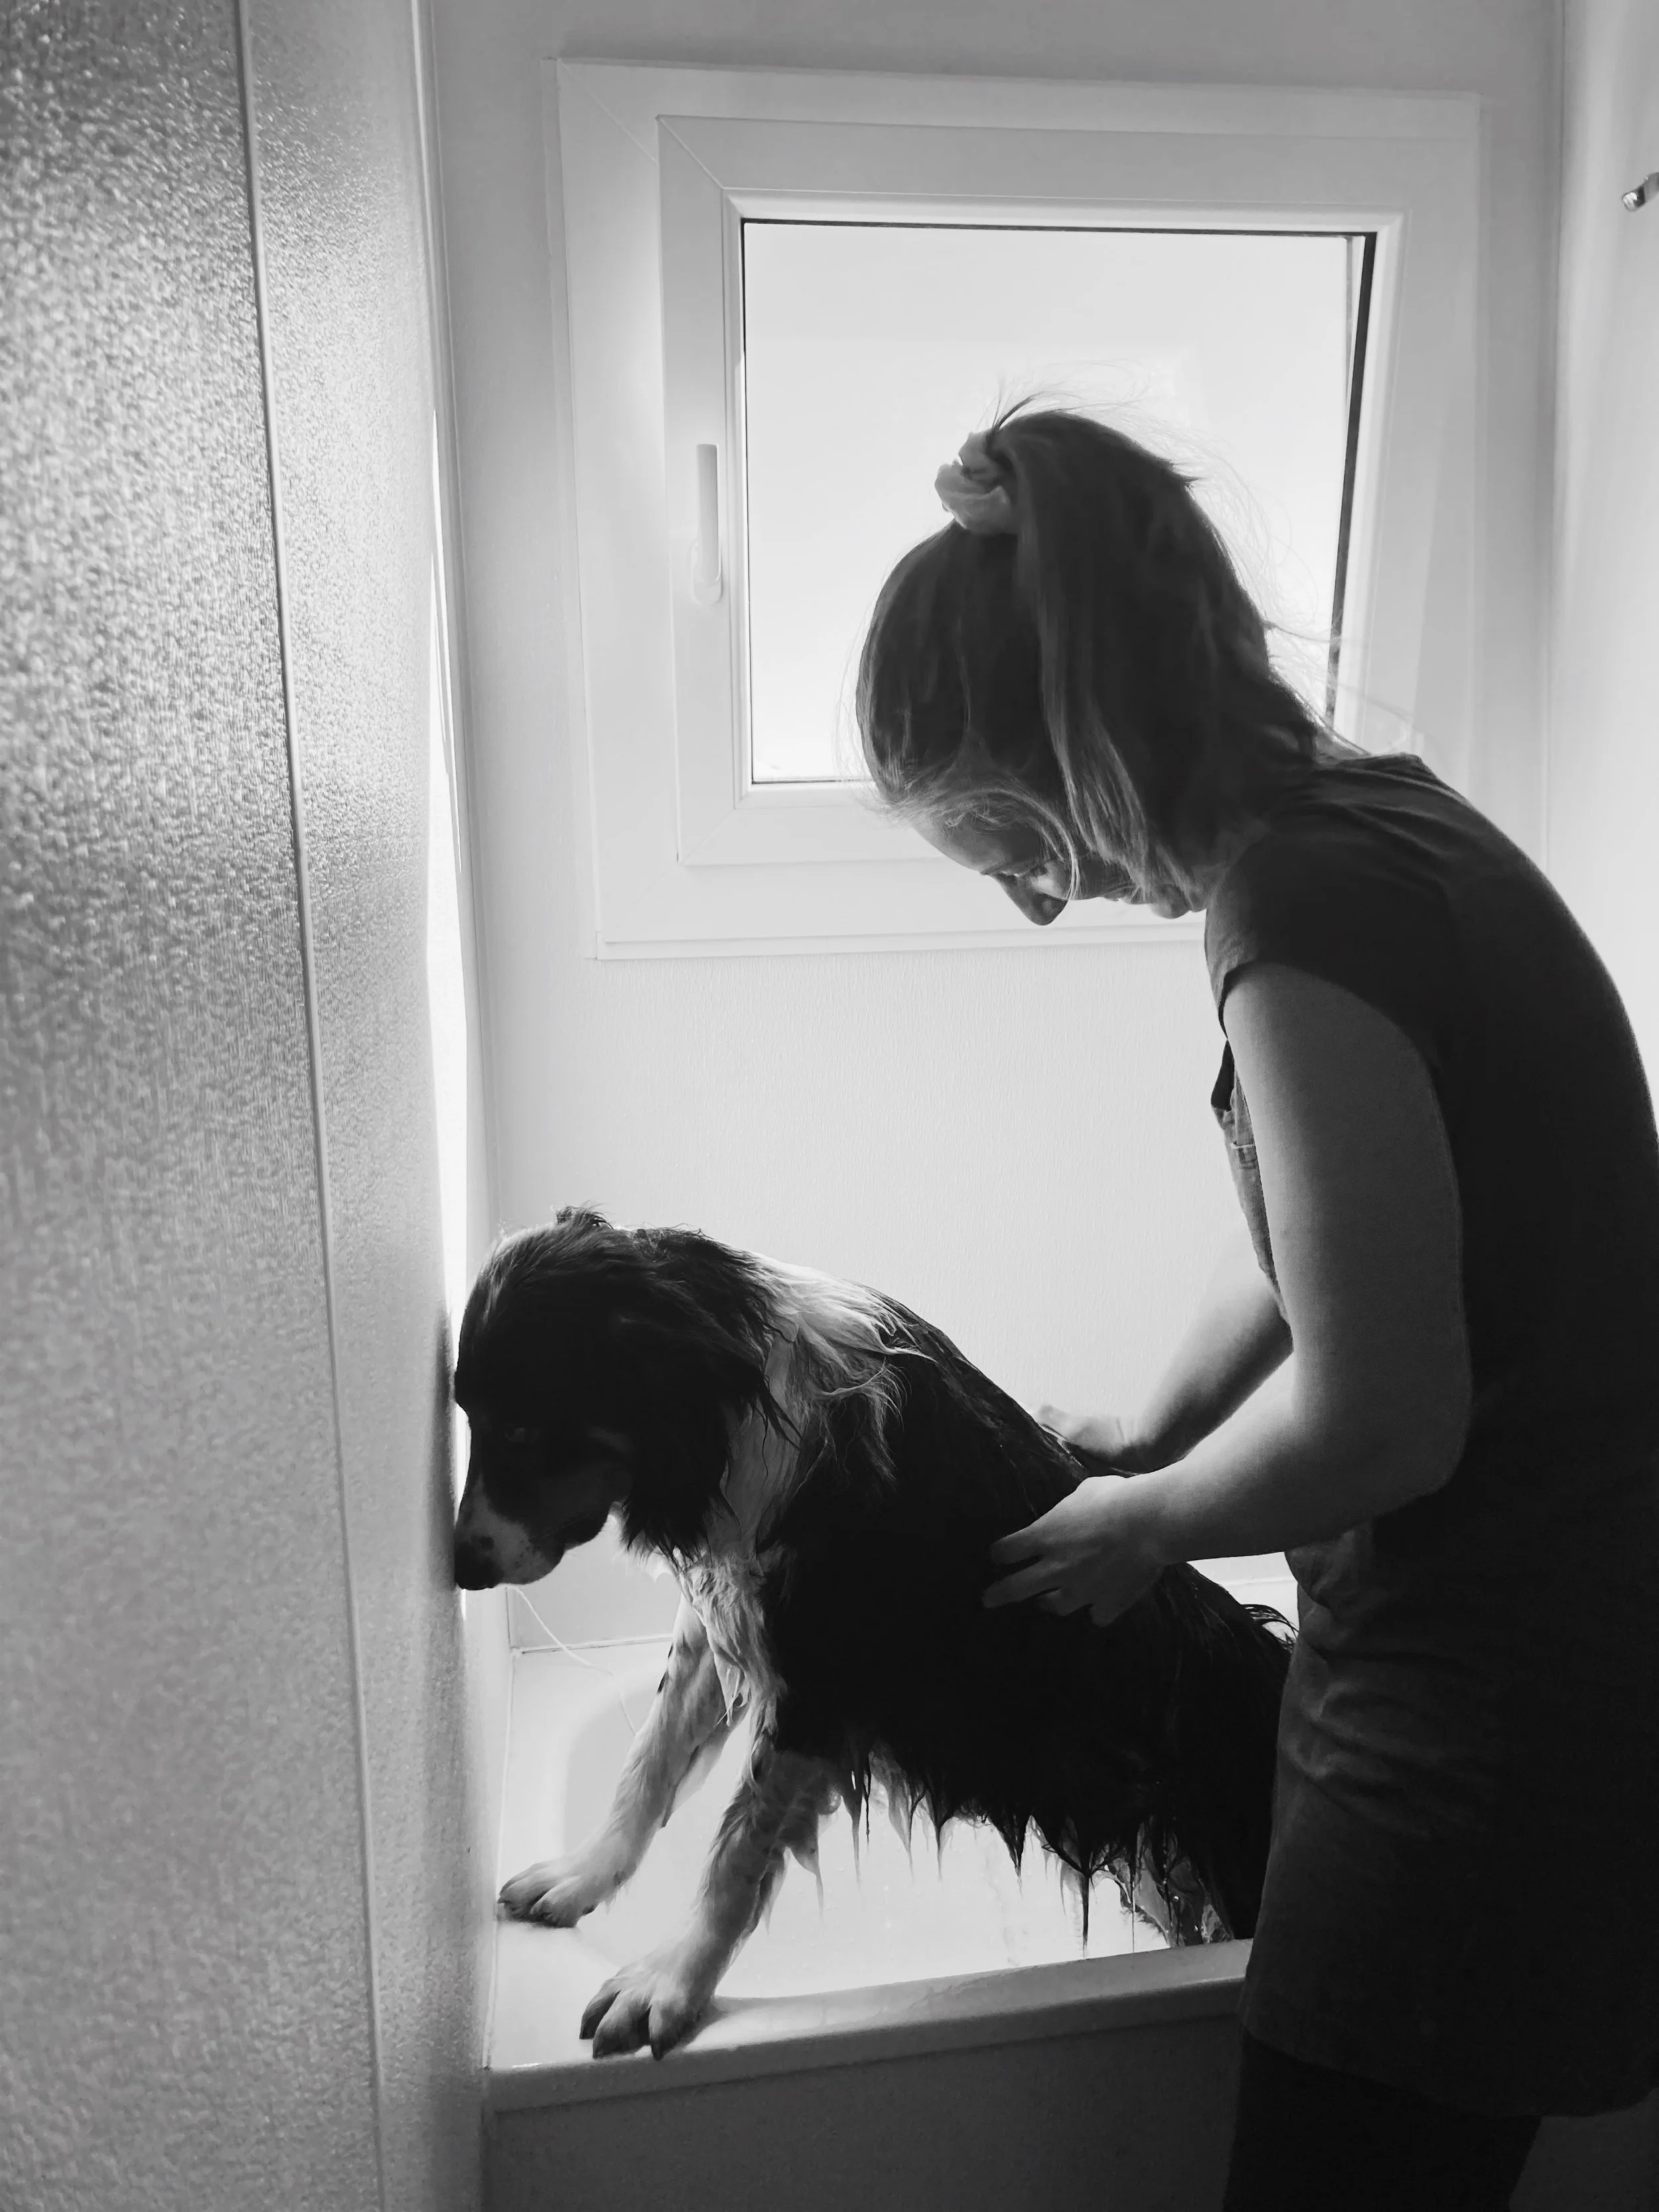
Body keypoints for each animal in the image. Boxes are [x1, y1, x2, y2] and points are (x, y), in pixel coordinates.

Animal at [453, 1208, 1292, 2060]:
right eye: (471, 1419)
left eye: (520, 1430)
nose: (459, 1568)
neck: (740, 1412)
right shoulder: (721, 1628)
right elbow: (644, 1767)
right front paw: (582, 1878)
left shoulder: (820, 1684)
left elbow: (737, 1849)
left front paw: (670, 1983)